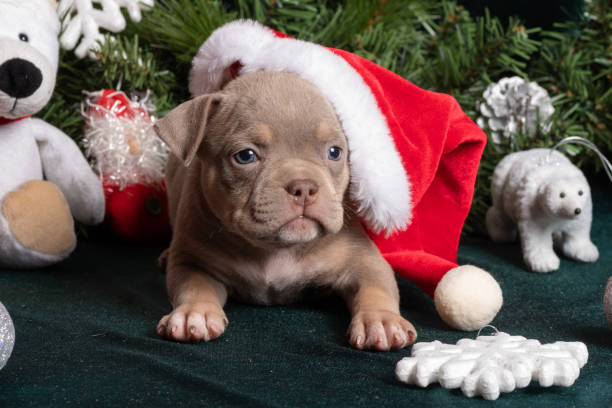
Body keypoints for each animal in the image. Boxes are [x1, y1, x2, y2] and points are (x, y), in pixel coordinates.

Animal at [155, 71, 418, 350]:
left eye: (334, 152)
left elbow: (376, 286)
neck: (276, 249)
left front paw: (381, 320)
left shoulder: (363, 260)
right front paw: (195, 313)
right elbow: (193, 286)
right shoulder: (194, 261)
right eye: (246, 156)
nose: (303, 187)